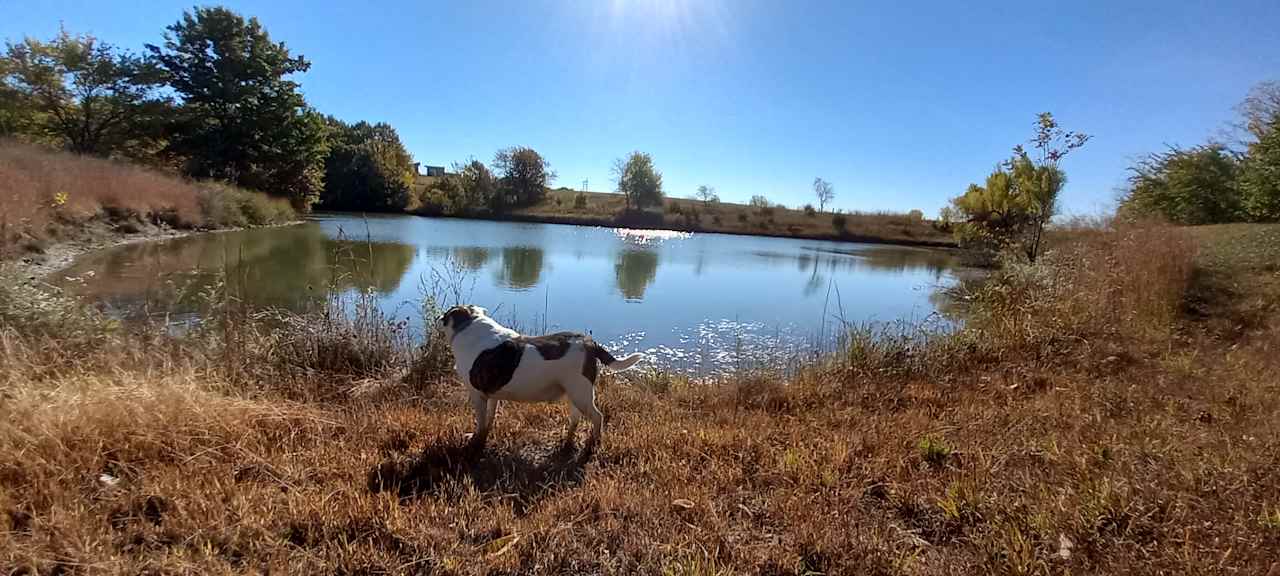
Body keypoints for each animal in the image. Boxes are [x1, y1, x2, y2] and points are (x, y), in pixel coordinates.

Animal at [437, 303, 640, 448]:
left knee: (597, 417)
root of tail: (589, 342)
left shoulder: (477, 393)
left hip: (581, 393)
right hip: (576, 393)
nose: (439, 317)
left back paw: (594, 441)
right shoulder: (492, 393)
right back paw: (567, 440)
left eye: (446, 316)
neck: (469, 327)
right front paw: (487, 430)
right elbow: (490, 415)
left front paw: (475, 438)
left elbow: (480, 420)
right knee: (576, 417)